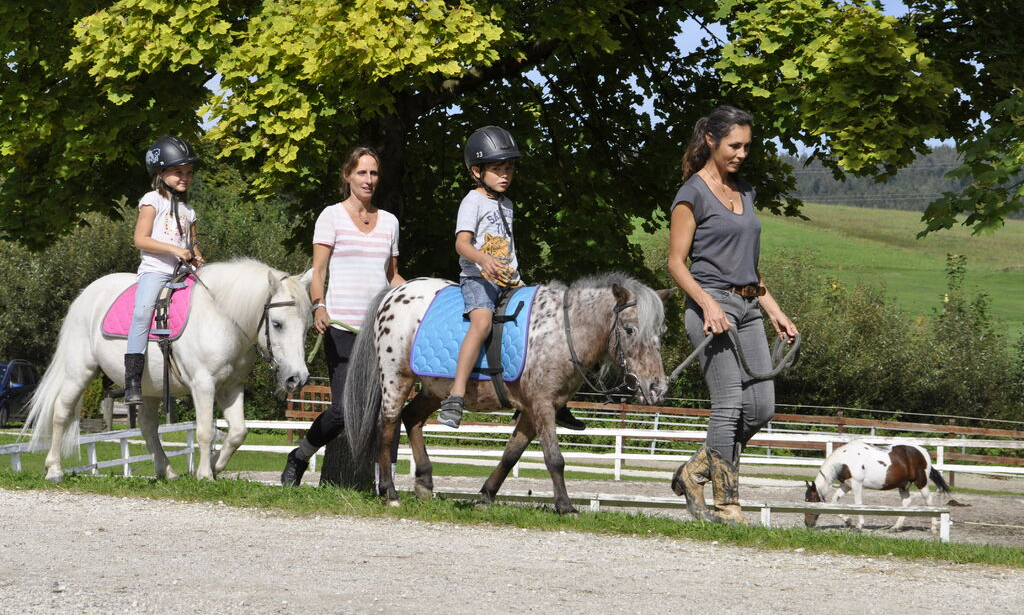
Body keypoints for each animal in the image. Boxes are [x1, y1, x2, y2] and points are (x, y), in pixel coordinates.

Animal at [26, 258, 309, 479]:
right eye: (277, 323)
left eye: (306, 327)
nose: (298, 379)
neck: (221, 318)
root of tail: (85, 296)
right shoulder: (203, 384)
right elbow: (206, 431)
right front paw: (205, 474)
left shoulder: (231, 386)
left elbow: (238, 432)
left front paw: (215, 465)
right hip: (79, 372)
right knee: (61, 412)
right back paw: (54, 469)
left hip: (149, 387)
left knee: (147, 426)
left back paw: (168, 471)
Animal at [340, 274, 668, 514]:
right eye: (629, 330)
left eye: (661, 333)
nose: (658, 387)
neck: (563, 332)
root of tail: (395, 292)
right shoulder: (542, 404)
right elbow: (555, 458)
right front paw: (565, 506)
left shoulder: (534, 409)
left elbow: (512, 455)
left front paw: (485, 496)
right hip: (396, 377)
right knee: (387, 427)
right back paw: (391, 493)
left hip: (435, 388)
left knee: (412, 419)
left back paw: (425, 482)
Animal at [799, 442, 951, 533]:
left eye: (811, 501)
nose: (808, 523)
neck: (845, 461)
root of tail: (922, 452)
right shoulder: (846, 485)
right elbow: (834, 502)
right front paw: (848, 521)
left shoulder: (856, 484)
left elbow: (858, 504)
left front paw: (859, 525)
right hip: (903, 485)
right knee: (907, 502)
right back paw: (895, 527)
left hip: (921, 482)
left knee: (928, 501)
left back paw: (933, 528)